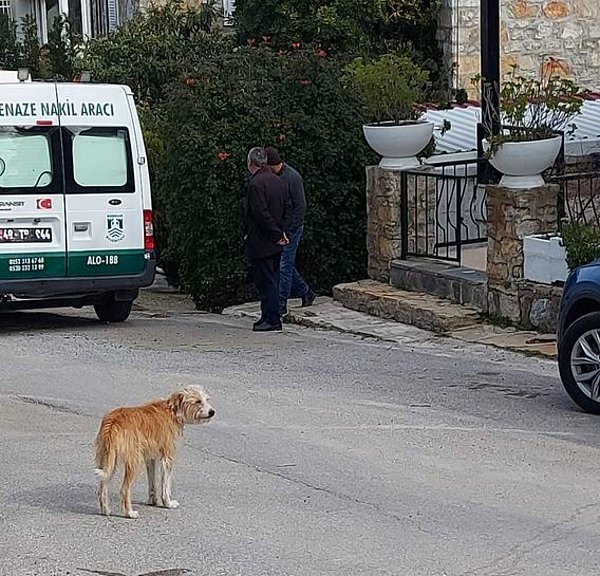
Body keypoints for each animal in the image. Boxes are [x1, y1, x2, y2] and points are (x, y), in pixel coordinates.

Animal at [92, 388, 214, 516]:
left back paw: (105, 510)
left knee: (102, 485)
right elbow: (165, 485)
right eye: (198, 401)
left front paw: (153, 501)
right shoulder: (167, 458)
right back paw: (129, 513)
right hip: (134, 461)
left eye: (207, 399)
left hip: (107, 458)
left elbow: (152, 482)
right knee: (124, 489)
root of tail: (114, 421)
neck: (173, 411)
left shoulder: (150, 458)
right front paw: (167, 503)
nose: (212, 412)